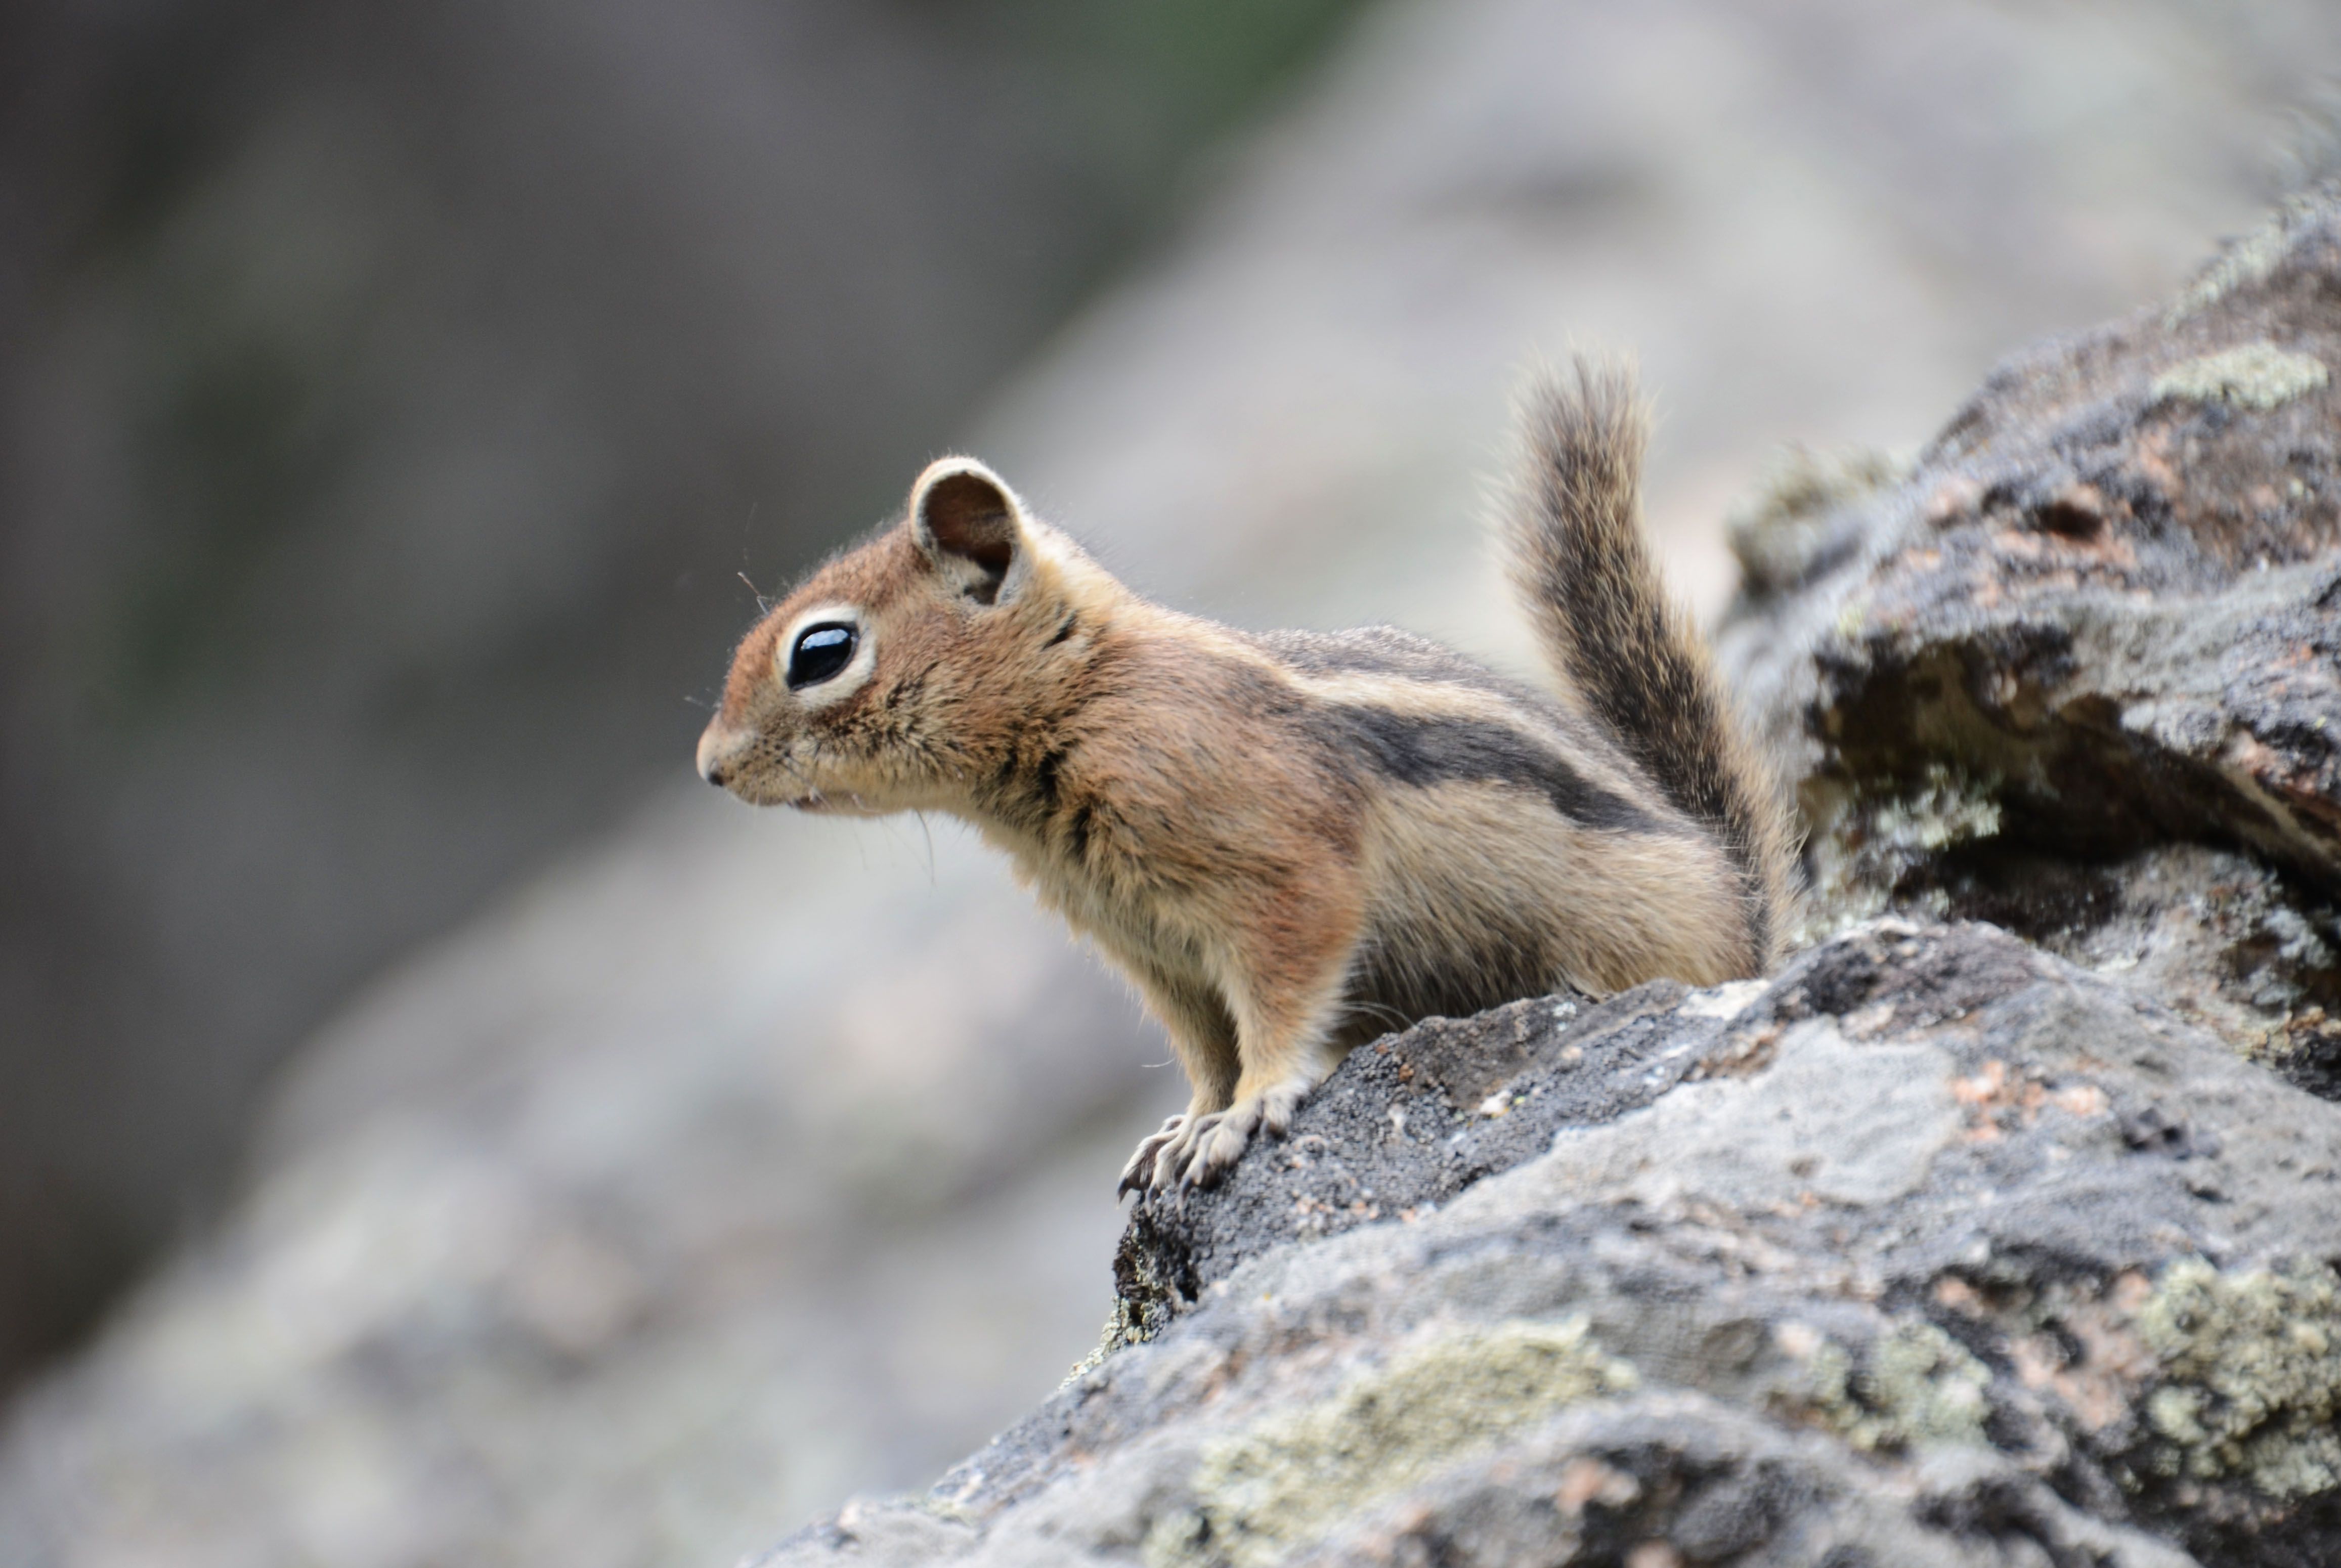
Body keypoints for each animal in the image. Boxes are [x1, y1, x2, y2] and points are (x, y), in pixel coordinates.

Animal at [697, 359, 1797, 1196]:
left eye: (821, 651)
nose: (708, 766)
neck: (1089, 699)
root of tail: (1749, 915)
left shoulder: (1279, 874)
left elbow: (1276, 1003)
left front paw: (1253, 1106)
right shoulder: (1155, 951)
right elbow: (1204, 1048)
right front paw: (1185, 1124)